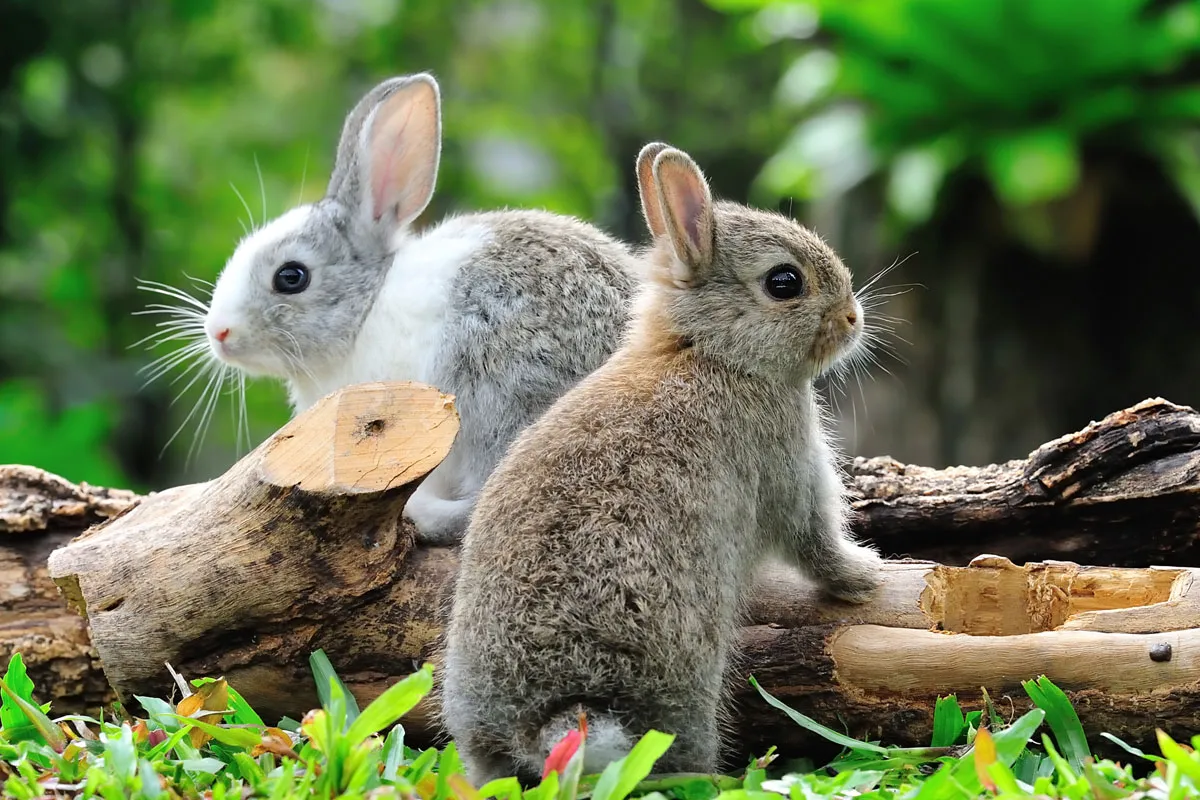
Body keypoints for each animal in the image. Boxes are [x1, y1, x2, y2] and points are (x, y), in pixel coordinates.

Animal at [440, 142, 885, 785]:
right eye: (785, 282)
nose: (852, 318)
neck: (710, 352)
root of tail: (544, 718)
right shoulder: (788, 466)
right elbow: (815, 542)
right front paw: (866, 576)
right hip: (683, 684)